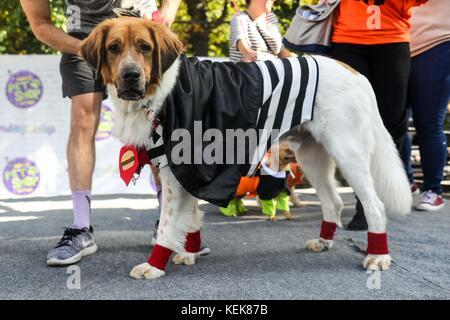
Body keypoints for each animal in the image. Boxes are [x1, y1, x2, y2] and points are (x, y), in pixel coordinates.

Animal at [80, 17, 412, 278]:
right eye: (114, 48)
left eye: (145, 48)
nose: (131, 75)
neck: (162, 90)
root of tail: (354, 72)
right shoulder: (183, 172)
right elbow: (190, 219)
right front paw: (190, 253)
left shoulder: (179, 170)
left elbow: (167, 223)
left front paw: (155, 265)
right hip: (312, 157)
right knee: (334, 203)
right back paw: (324, 241)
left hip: (348, 154)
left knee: (375, 206)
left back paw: (378, 256)